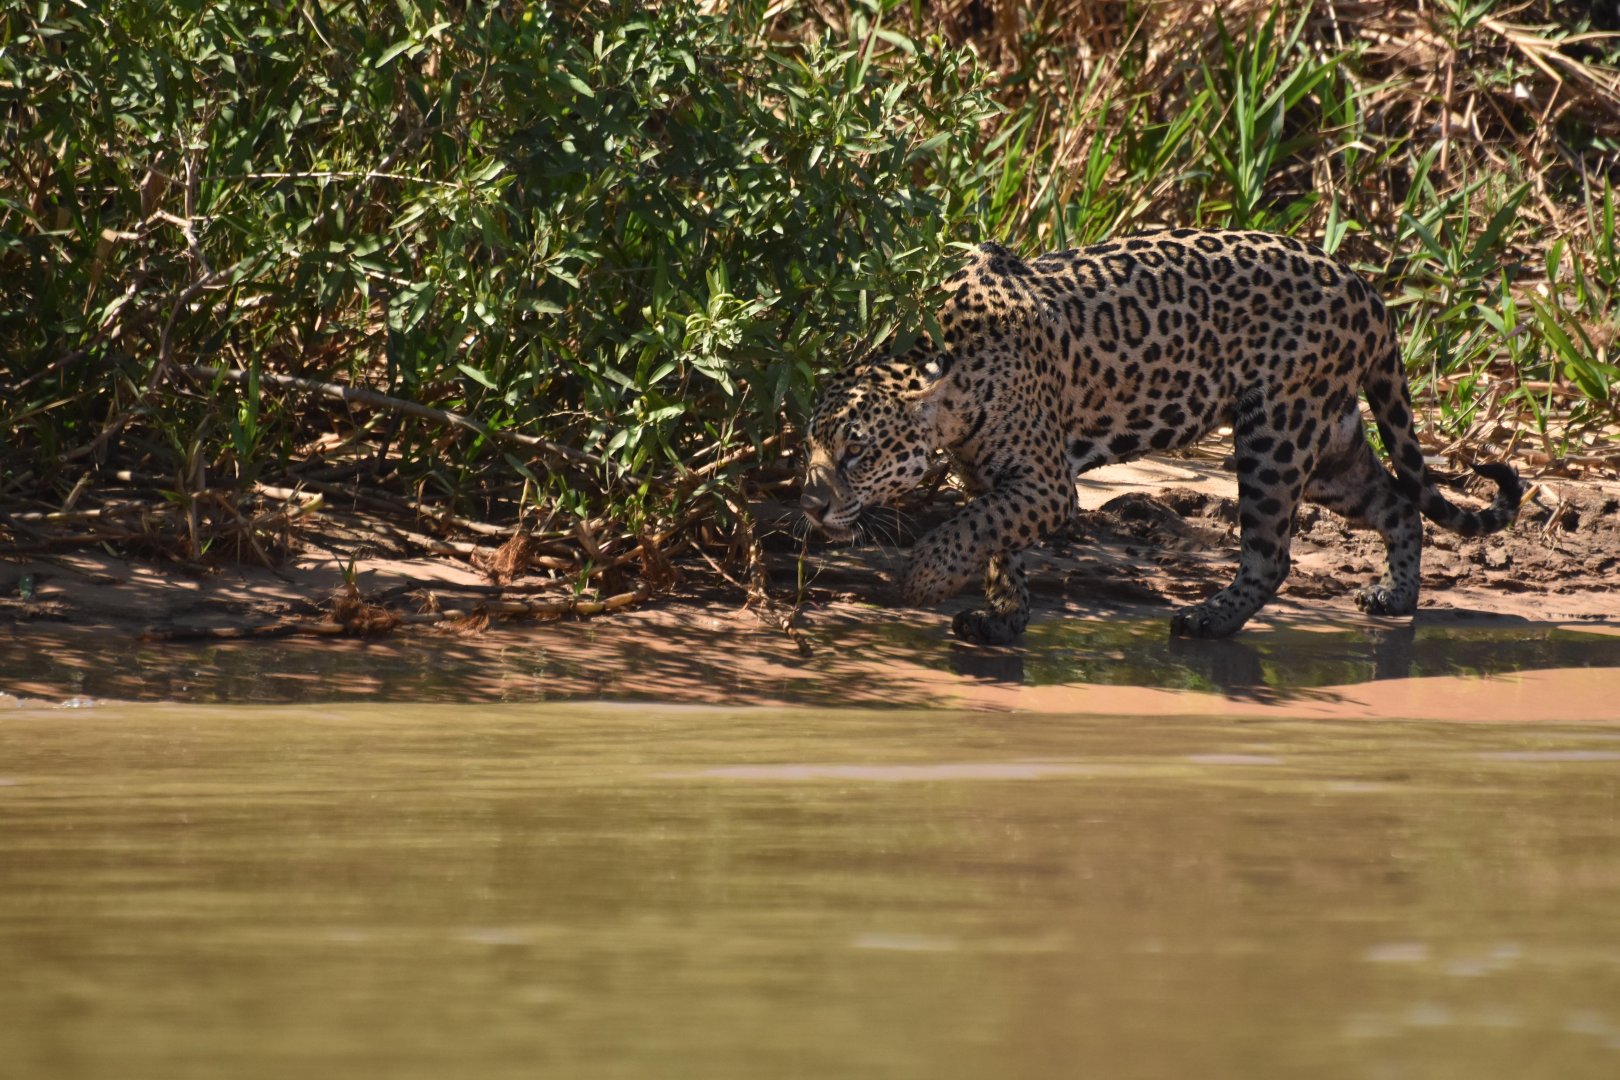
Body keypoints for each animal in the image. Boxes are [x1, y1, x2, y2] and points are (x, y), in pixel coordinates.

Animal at [799, 228, 1524, 644]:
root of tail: (1363, 284)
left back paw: (1207, 619)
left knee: (1271, 555)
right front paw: (1004, 616)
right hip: (1330, 444)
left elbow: (971, 529)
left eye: (856, 452)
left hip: (1276, 434)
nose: (810, 505)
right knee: (1397, 502)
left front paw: (923, 579)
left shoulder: (1045, 483)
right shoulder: (999, 481)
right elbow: (1000, 543)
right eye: (811, 445)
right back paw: (1396, 597)